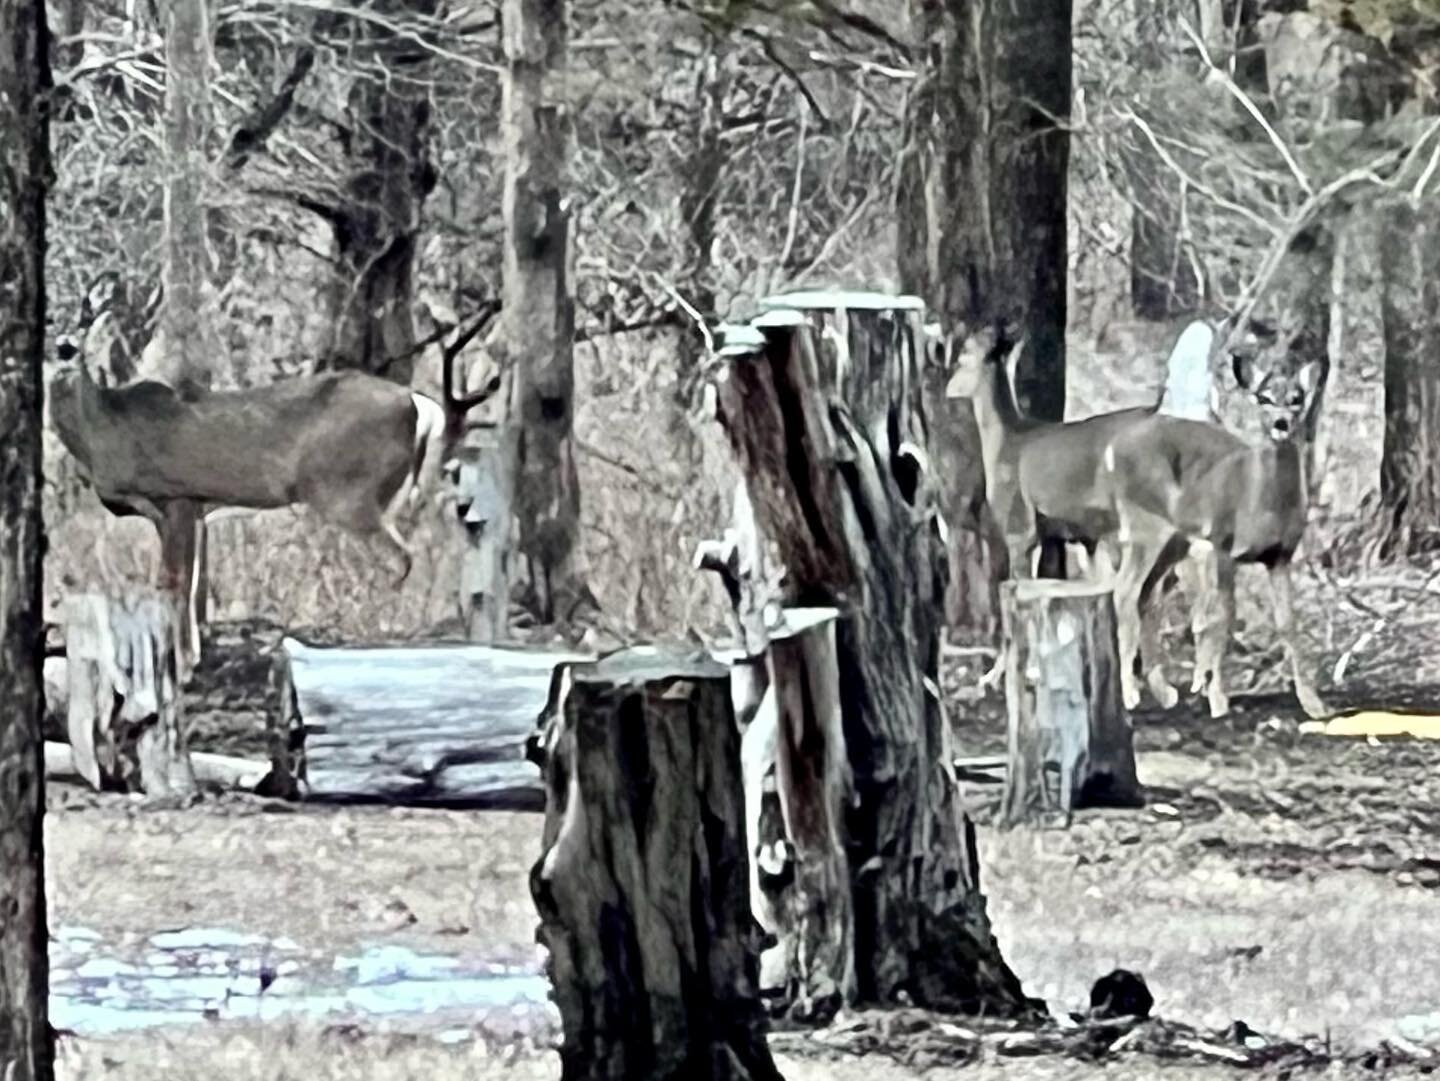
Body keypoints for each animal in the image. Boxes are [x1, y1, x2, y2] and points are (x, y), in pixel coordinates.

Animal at [50, 279, 504, 667]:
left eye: (84, 324)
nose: (65, 348)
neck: (108, 433)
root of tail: (418, 403)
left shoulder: (178, 494)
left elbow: (173, 582)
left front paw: (183, 662)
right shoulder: (191, 510)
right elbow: (191, 583)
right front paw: (192, 653)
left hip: (348, 493)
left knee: (399, 558)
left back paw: (372, 628)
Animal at [1100, 348, 1324, 719]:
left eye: (1297, 398)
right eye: (1263, 397)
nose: (1281, 424)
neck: (1261, 502)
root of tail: (1112, 449)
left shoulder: (1280, 556)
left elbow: (1287, 622)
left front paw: (1313, 702)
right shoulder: (1222, 543)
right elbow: (1222, 617)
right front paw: (1217, 696)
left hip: (1173, 543)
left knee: (1145, 596)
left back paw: (1164, 692)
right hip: (1145, 525)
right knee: (1124, 591)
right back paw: (1131, 695)